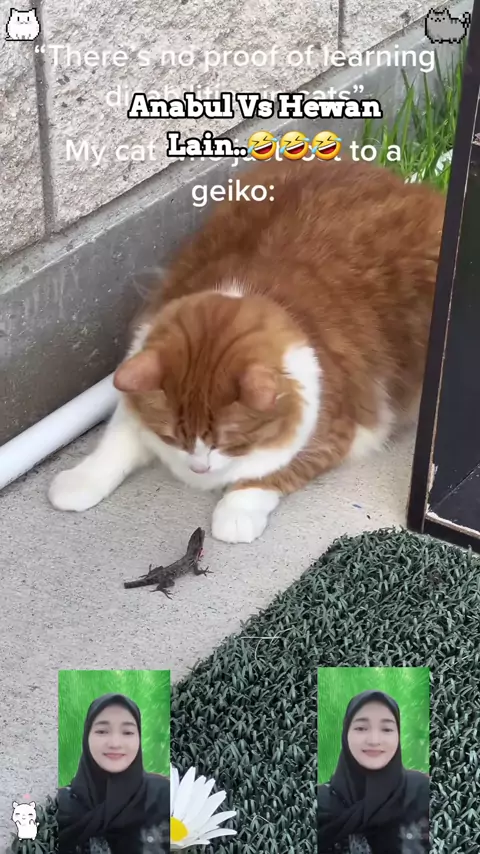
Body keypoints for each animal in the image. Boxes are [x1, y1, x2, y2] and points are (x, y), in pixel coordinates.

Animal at [49, 157, 445, 543]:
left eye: (228, 443)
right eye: (174, 438)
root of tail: (401, 182)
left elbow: (269, 474)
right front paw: (79, 483)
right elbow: (115, 442)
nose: (199, 468)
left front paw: (234, 516)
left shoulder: (334, 430)